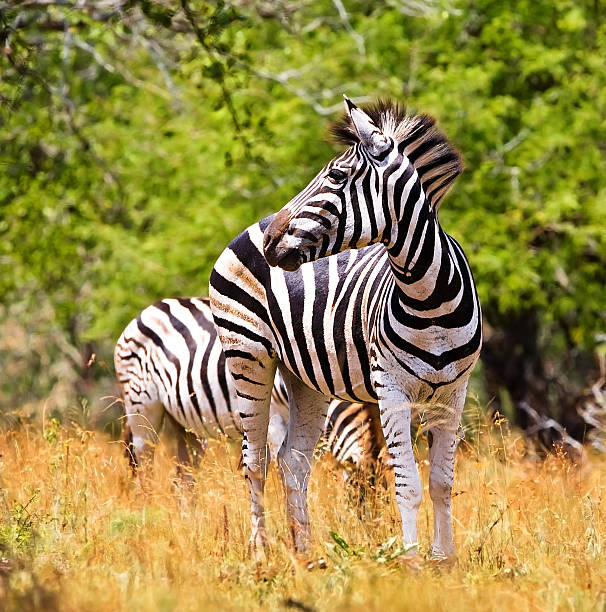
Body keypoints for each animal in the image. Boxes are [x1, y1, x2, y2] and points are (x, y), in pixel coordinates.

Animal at [114, 298, 382, 480]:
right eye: (359, 494)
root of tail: (149, 309)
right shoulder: (273, 415)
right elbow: (275, 464)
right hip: (141, 407)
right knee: (144, 464)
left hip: (182, 422)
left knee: (184, 475)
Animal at [211, 98, 482, 560]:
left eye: (337, 176)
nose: (270, 243)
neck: (430, 299)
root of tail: (250, 226)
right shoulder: (391, 388)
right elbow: (408, 484)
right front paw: (411, 562)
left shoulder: (453, 392)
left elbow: (442, 483)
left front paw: (445, 561)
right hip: (247, 357)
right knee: (255, 461)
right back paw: (261, 554)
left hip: (303, 378)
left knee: (293, 461)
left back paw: (305, 556)